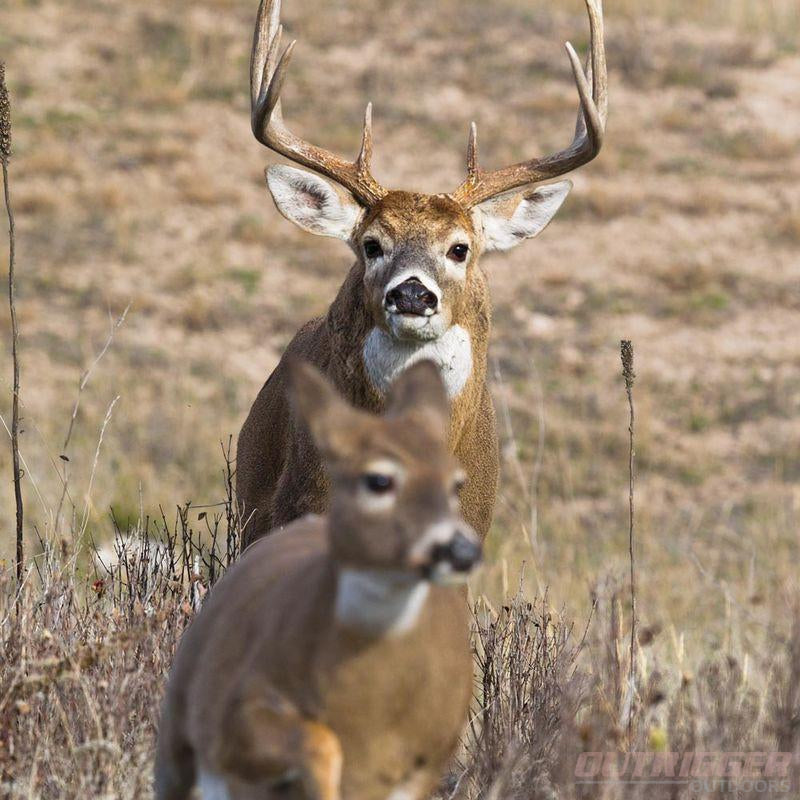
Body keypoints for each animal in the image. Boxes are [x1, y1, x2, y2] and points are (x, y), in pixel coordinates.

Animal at [155, 359, 482, 800]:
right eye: (378, 480)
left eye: (455, 483)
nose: (462, 551)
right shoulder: (236, 719)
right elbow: (316, 741)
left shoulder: (426, 763)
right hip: (179, 734)